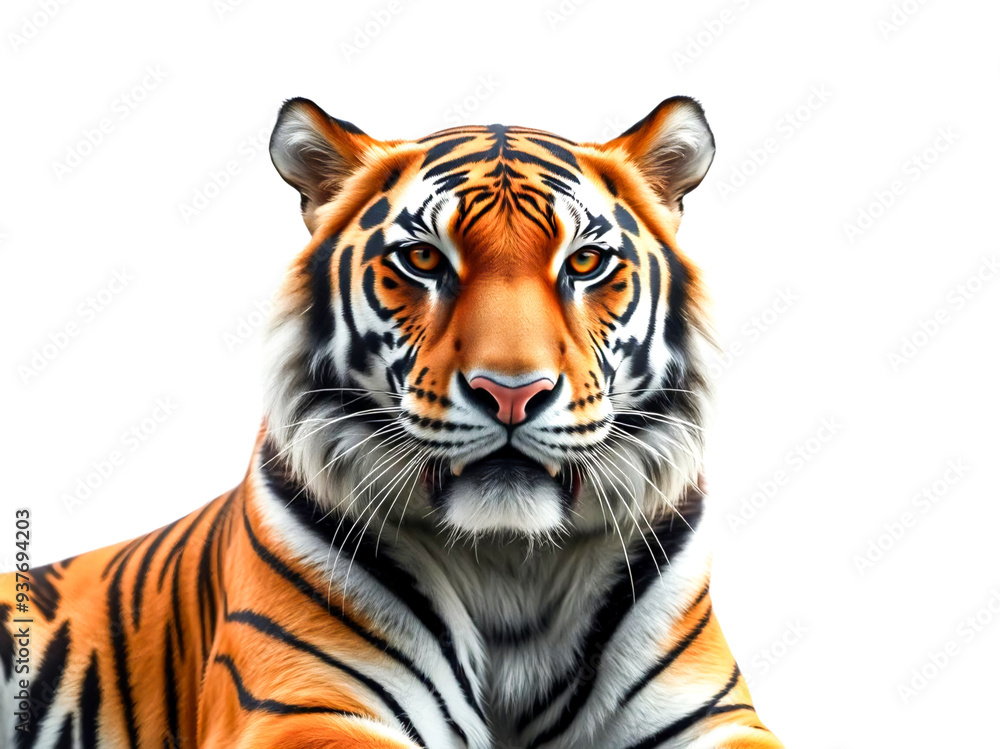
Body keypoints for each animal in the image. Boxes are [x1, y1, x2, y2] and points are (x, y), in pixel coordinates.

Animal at [1, 95, 784, 749]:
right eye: (423, 259)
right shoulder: (302, 704)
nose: (512, 393)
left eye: (586, 261)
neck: (509, 562)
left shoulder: (711, 713)